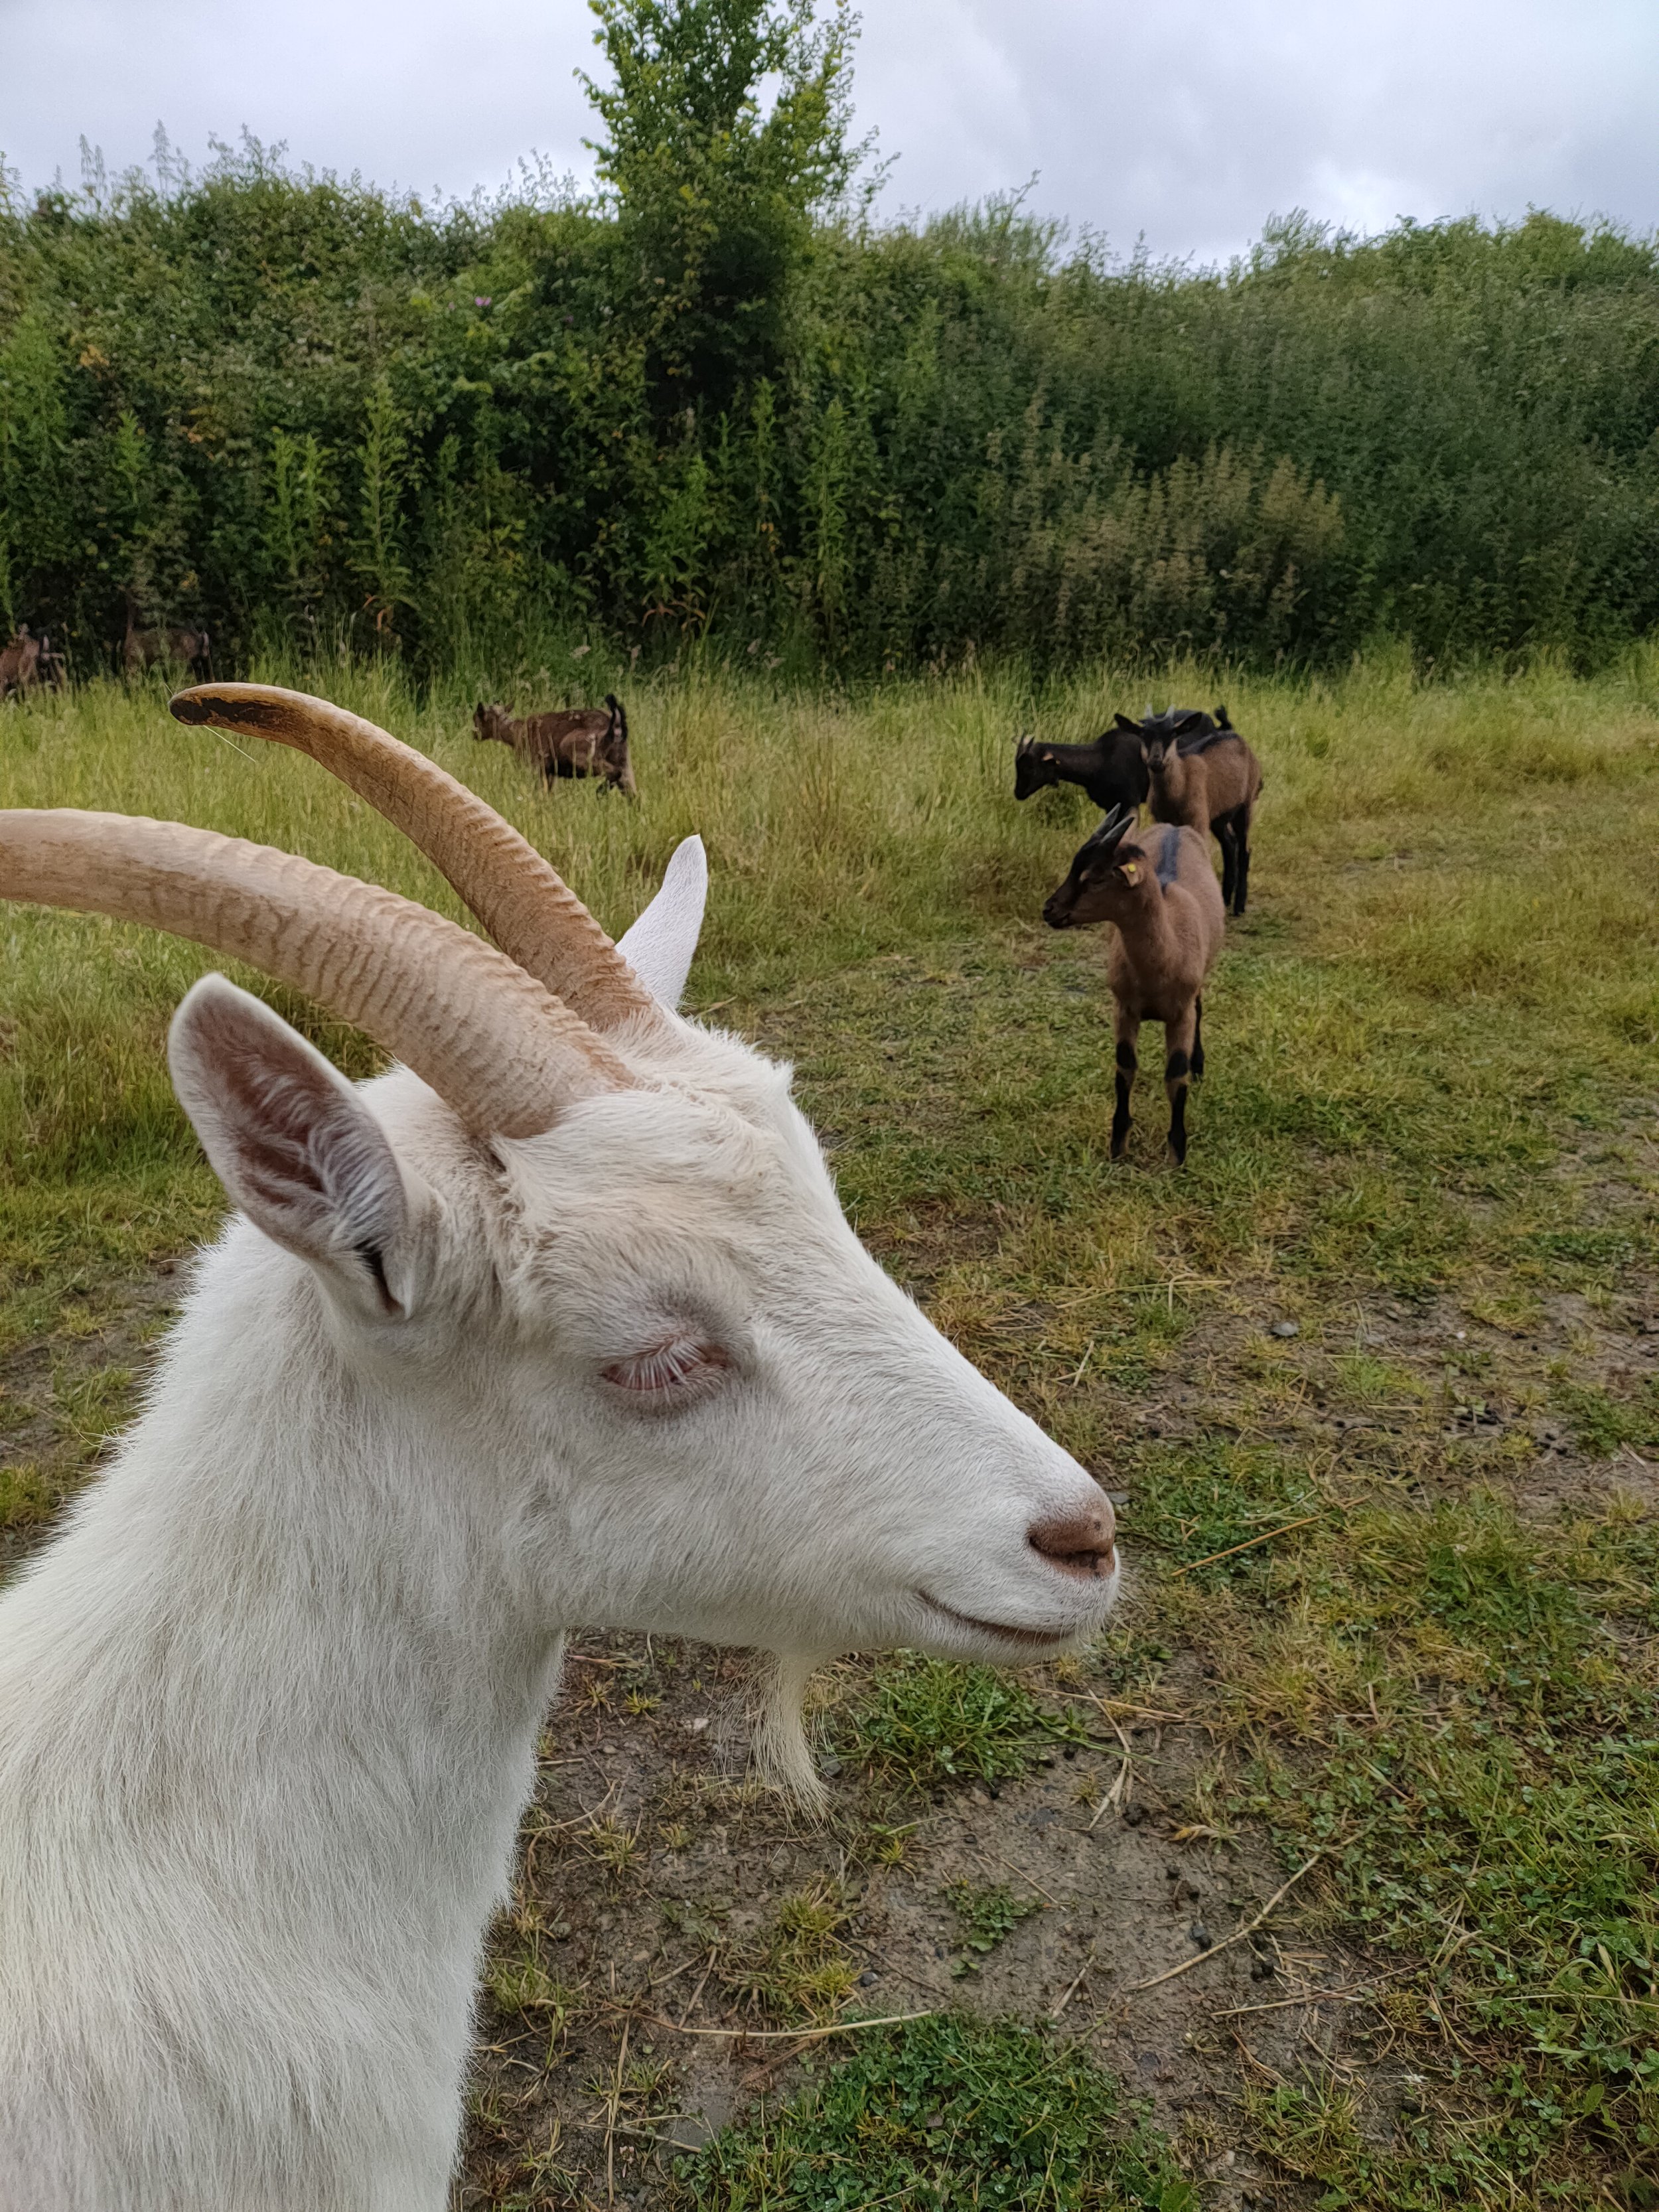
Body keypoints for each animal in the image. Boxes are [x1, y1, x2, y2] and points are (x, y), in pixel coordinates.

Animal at [474, 692, 635, 794]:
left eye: (476, 717)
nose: (474, 735)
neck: (517, 735)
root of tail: (615, 724)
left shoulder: (538, 764)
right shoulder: (551, 771)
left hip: (579, 749)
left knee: (614, 772)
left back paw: (599, 793)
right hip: (624, 759)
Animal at [1043, 802, 1225, 1165]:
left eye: (1095, 878)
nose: (1049, 910)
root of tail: (1174, 828)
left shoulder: (1181, 1014)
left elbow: (1176, 1076)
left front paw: (1177, 1152)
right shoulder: (1124, 1008)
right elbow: (1124, 1069)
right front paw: (1118, 1144)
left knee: (1201, 1007)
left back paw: (1199, 1065)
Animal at [1119, 704, 1262, 916]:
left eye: (1173, 734)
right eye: (1143, 734)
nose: (1156, 761)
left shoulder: (1198, 818)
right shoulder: (1162, 819)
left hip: (1245, 804)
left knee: (1245, 849)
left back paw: (1239, 906)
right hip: (1219, 815)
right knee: (1230, 844)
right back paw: (1225, 897)